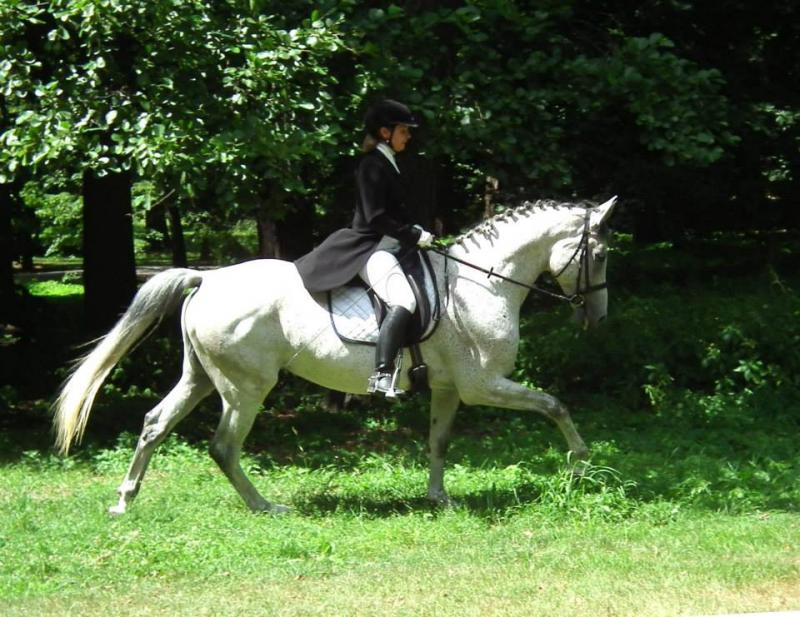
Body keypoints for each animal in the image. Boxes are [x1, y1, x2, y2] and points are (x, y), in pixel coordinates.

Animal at [53, 196, 617, 515]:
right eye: (600, 254)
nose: (597, 317)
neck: (481, 284)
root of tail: (208, 278)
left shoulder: (449, 388)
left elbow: (438, 442)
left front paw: (439, 499)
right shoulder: (484, 386)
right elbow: (554, 405)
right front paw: (580, 465)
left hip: (201, 377)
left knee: (155, 423)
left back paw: (125, 500)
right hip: (245, 388)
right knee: (223, 446)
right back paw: (265, 507)